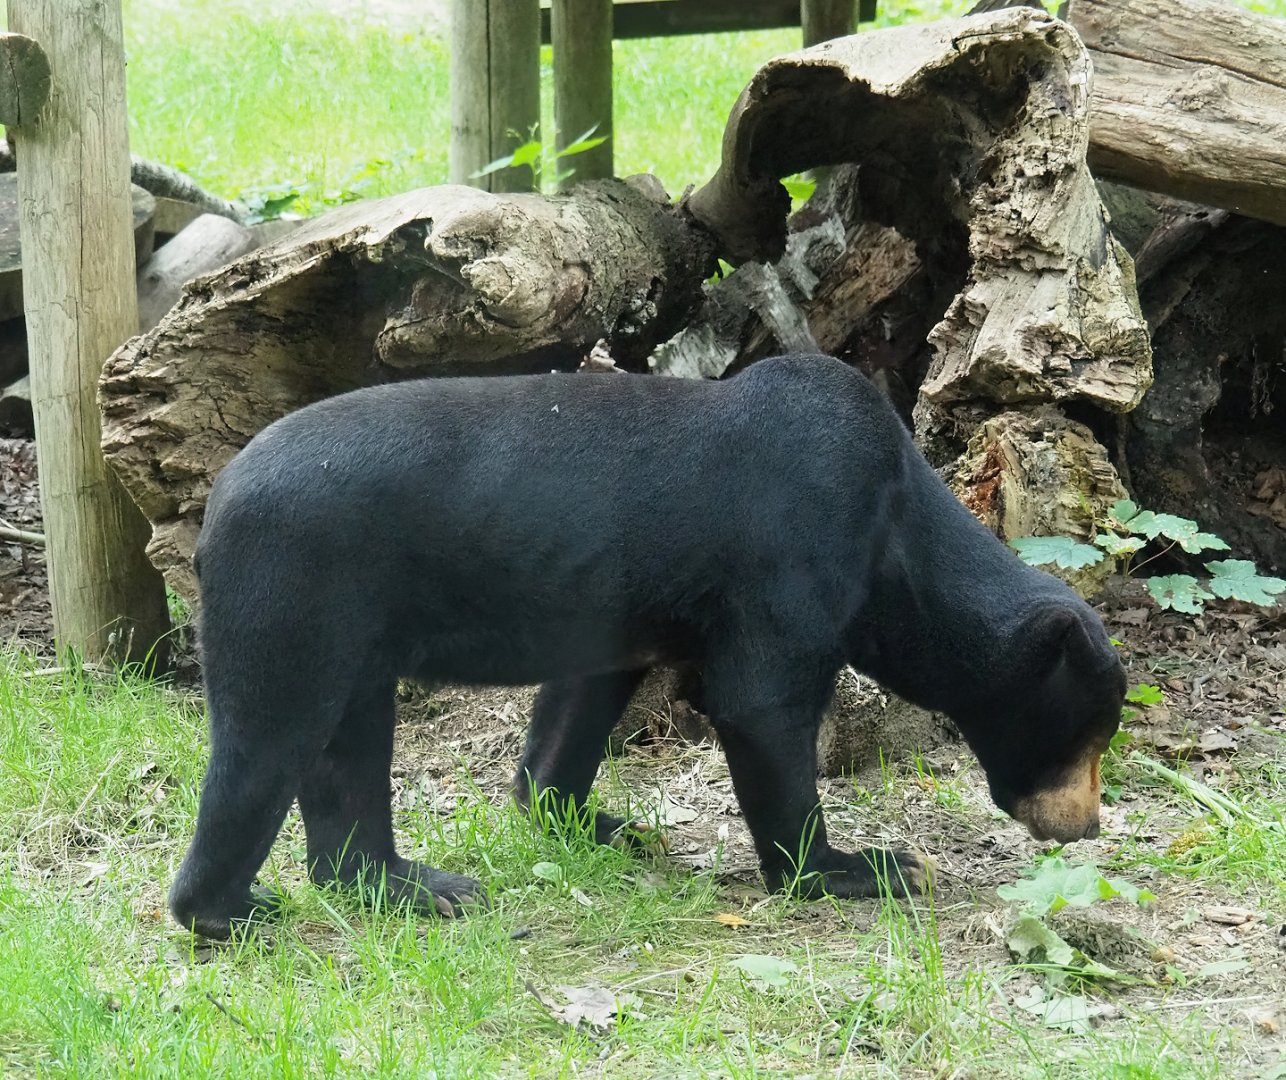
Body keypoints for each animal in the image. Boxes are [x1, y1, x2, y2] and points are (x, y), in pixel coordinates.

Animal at [169, 354, 1126, 940]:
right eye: (1088, 736)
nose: (1083, 826)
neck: (898, 533)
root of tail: (215, 509)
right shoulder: (795, 551)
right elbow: (760, 705)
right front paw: (858, 869)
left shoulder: (618, 612)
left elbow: (579, 705)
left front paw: (597, 824)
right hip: (294, 594)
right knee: (266, 744)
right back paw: (227, 912)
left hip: (355, 633)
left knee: (346, 758)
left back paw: (412, 887)